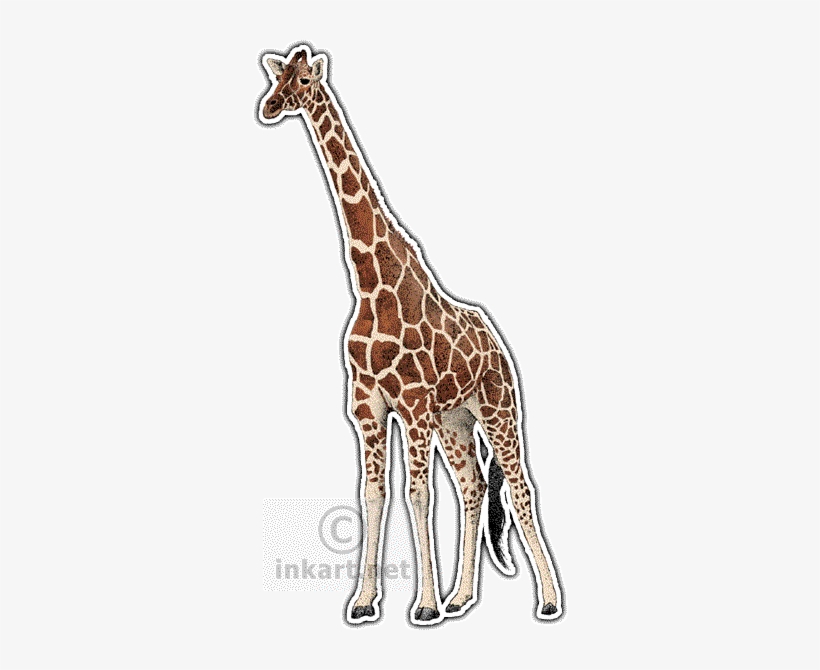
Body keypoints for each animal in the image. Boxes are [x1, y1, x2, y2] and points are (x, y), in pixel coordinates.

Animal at [258, 45, 562, 625]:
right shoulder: (368, 406)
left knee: (519, 488)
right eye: (277, 78)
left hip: (497, 408)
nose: (269, 107)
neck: (369, 283)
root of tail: (499, 347)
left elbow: (417, 494)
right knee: (472, 487)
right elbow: (373, 494)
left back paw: (549, 599)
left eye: (303, 80)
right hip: (456, 420)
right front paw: (364, 601)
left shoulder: (413, 404)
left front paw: (422, 604)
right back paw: (462, 596)